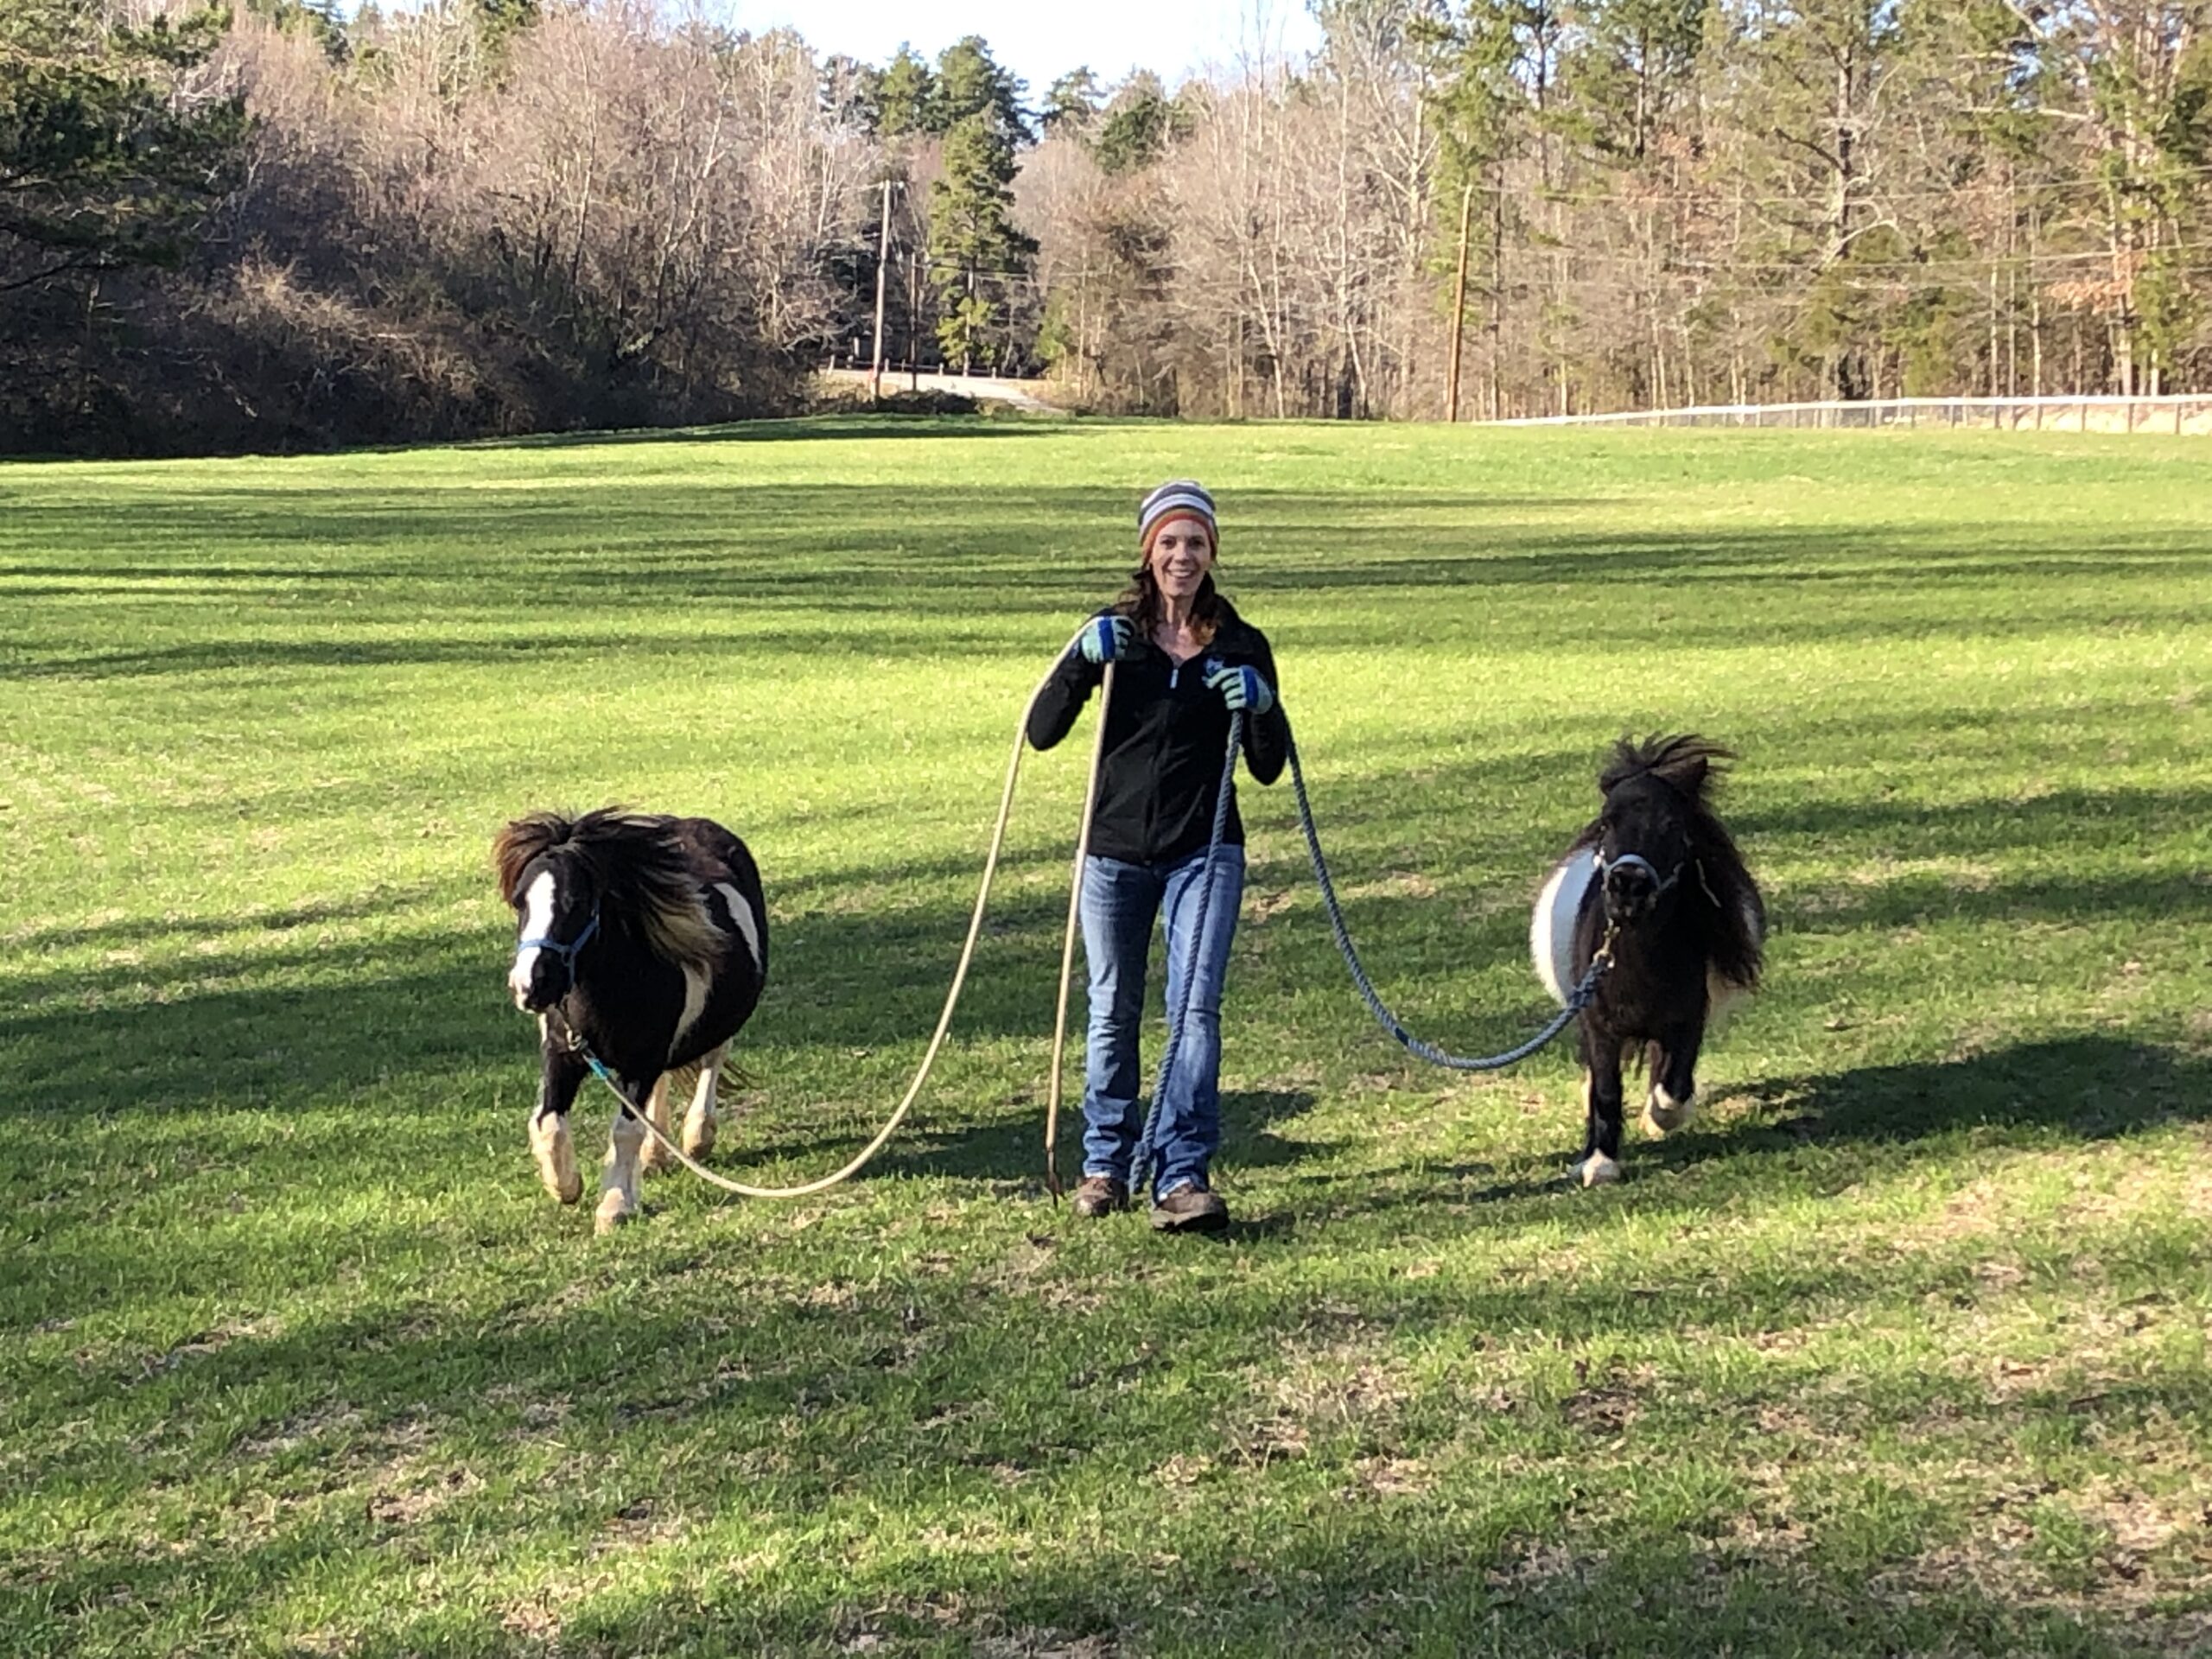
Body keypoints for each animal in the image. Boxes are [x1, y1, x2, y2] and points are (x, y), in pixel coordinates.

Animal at [493, 814, 769, 1230]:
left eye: (577, 902)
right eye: (520, 901)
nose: (529, 985)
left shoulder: (642, 1062)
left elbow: (626, 1130)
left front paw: (615, 1205)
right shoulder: (562, 1052)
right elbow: (548, 1123)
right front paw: (566, 1186)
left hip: (720, 1023)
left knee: (712, 1060)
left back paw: (697, 1137)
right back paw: (655, 1155)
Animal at [1539, 739, 1760, 1185]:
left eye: (1673, 825)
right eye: (1607, 824)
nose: (1629, 886)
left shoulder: (1686, 1021)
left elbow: (1672, 1085)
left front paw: (1662, 1118)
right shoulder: (1599, 1026)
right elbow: (1605, 1090)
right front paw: (1599, 1162)